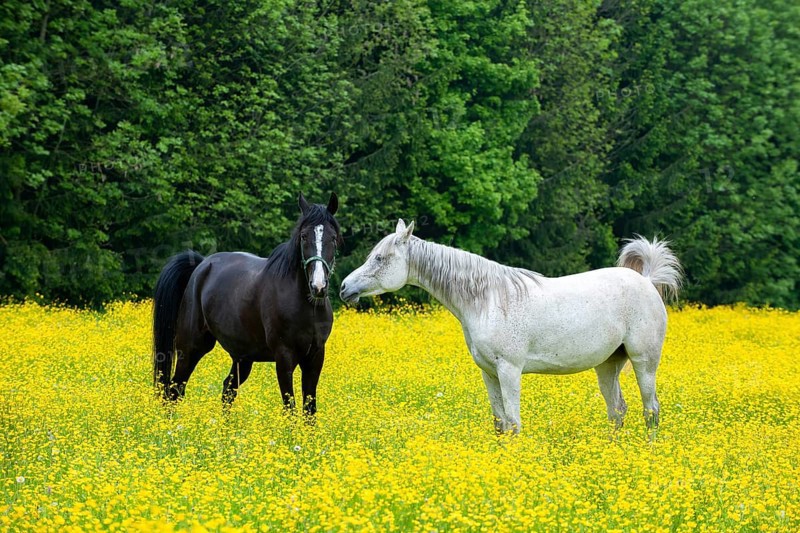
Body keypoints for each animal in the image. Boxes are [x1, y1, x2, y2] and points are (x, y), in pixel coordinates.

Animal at [152, 192, 341, 415]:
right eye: (303, 236)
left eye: (333, 238)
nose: (318, 286)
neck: (306, 306)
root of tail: (201, 265)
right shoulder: (284, 357)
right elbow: (290, 408)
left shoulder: (315, 357)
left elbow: (310, 410)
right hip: (191, 347)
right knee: (174, 391)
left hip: (242, 358)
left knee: (227, 390)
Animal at [339, 219, 683, 434]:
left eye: (380, 258)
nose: (343, 288)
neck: (487, 300)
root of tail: (647, 281)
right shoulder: (489, 373)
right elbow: (500, 424)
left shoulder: (509, 370)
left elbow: (515, 423)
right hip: (608, 365)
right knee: (617, 412)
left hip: (644, 362)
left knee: (651, 410)